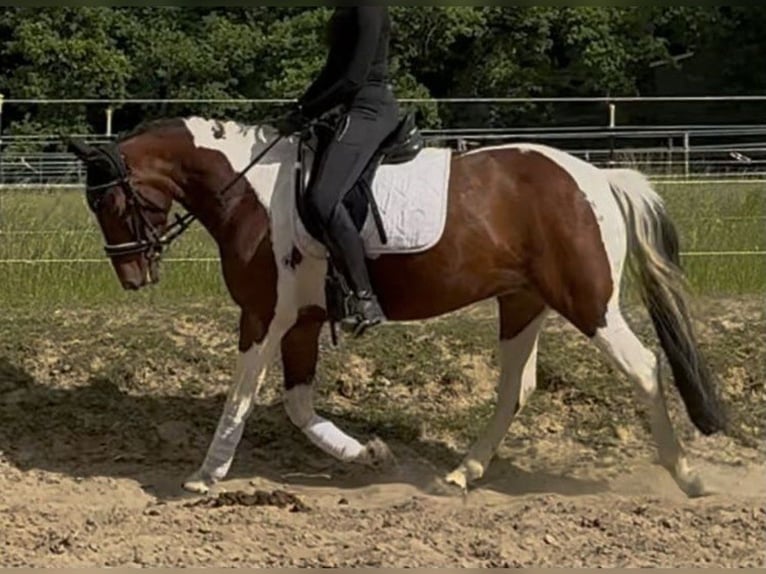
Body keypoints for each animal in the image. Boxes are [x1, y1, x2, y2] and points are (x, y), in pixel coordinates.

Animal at [65, 115, 726, 498]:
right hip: (522, 302)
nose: (132, 275)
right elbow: (299, 406)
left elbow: (242, 397)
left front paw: (205, 475)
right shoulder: (302, 323)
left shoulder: (264, 316)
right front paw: (369, 454)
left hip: (588, 302)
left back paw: (688, 476)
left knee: (644, 368)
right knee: (517, 386)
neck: (253, 191)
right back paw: (463, 473)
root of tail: (596, 176)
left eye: (109, 202)